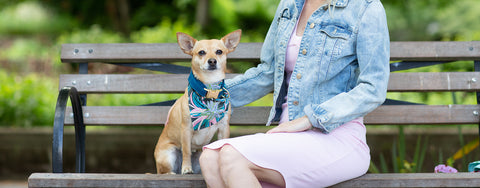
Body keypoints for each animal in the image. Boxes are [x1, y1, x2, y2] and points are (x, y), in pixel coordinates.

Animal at [155, 29, 242, 175]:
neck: (209, 90)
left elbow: (222, 143)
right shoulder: (186, 129)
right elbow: (186, 151)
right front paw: (186, 168)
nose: (212, 61)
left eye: (219, 51)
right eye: (201, 52)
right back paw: (173, 172)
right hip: (168, 153)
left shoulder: (224, 127)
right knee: (164, 170)